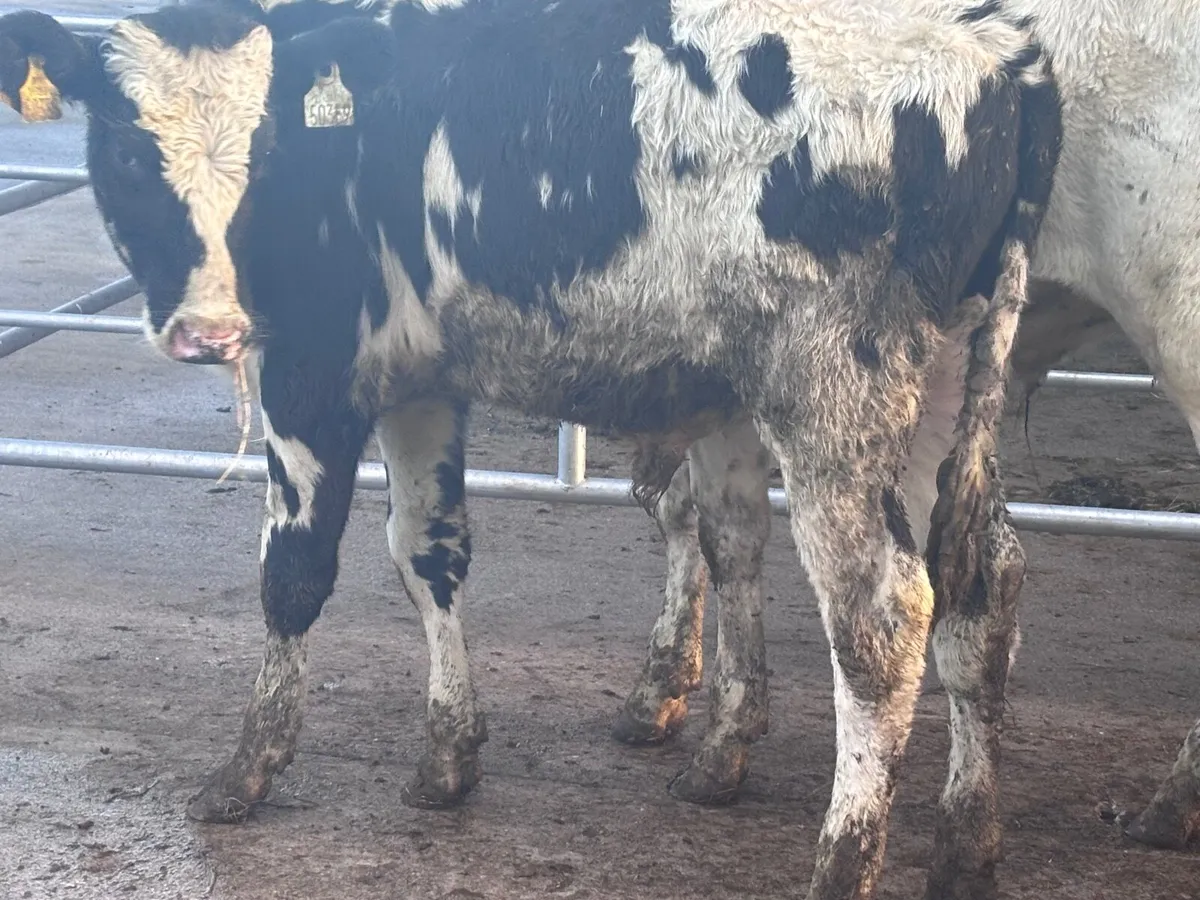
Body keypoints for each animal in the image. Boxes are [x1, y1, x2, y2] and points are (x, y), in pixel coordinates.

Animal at [0, 1, 1060, 897]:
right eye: (129, 150)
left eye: (264, 151)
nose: (210, 332)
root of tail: (996, 47)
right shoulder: (421, 381)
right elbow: (429, 554)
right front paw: (447, 757)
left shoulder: (311, 371)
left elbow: (293, 573)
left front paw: (247, 770)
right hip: (945, 387)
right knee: (986, 578)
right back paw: (965, 840)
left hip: (836, 396)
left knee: (884, 616)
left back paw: (843, 862)